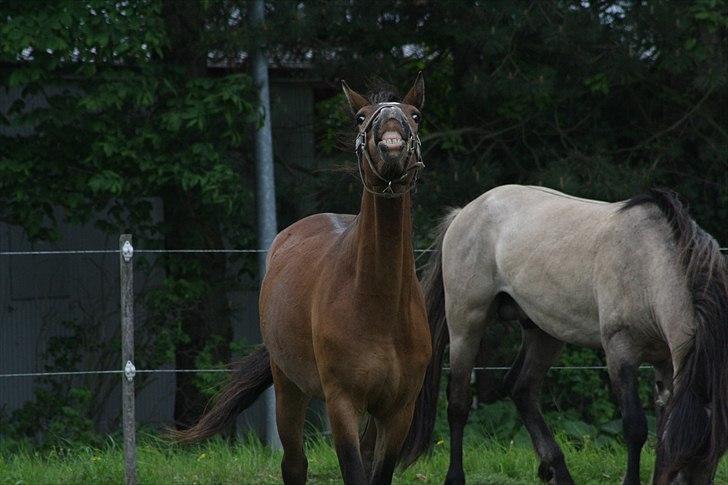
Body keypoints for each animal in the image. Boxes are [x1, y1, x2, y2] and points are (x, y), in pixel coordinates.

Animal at [171, 73, 432, 484]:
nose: (391, 139)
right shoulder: (342, 403)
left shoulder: (398, 411)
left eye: (415, 115)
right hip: (288, 387)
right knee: (294, 464)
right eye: (361, 118)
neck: (380, 307)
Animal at [410, 185, 728, 484]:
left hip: (544, 332)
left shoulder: (666, 361)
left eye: (714, 453)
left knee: (521, 388)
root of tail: (465, 212)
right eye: (685, 454)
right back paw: (455, 477)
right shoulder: (620, 351)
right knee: (458, 402)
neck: (649, 266)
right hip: (465, 325)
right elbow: (635, 427)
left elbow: (660, 423)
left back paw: (557, 471)